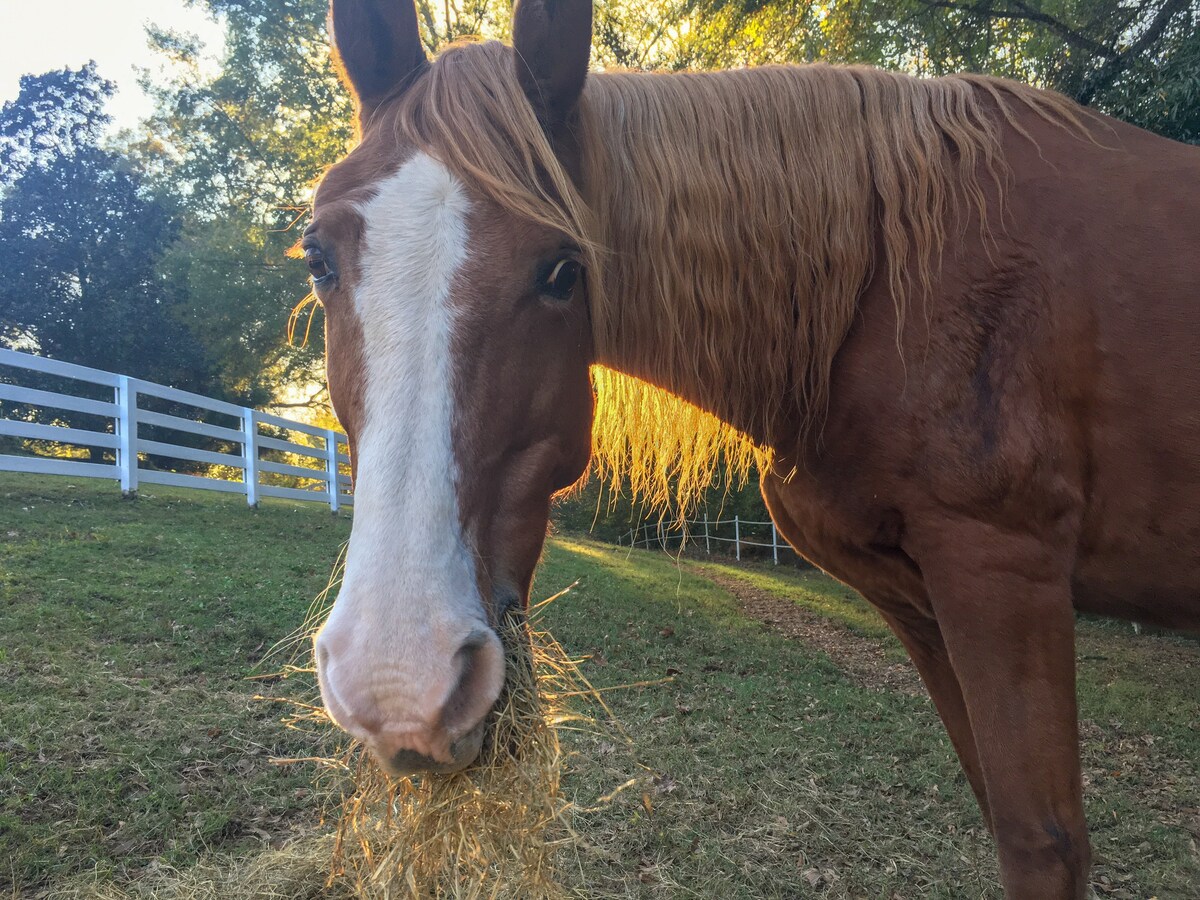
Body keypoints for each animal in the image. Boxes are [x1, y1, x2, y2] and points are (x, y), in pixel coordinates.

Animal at [304, 3, 1195, 897]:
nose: (398, 680)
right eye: (318, 261)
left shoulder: (1003, 574)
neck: (886, 289)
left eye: (562, 271)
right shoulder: (924, 604)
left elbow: (1043, 840)